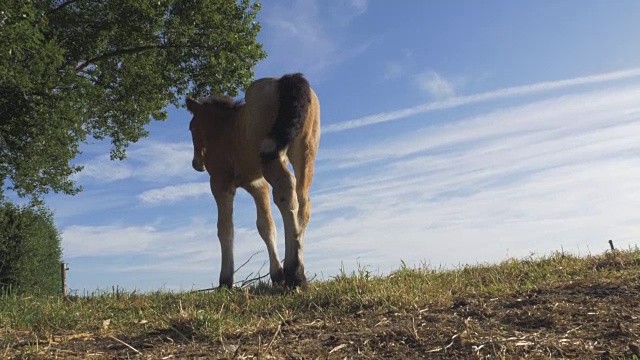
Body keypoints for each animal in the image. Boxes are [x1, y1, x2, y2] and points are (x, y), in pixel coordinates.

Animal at [185, 74, 320, 290]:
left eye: (191, 127)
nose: (197, 164)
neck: (224, 129)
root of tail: (286, 80)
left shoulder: (220, 182)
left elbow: (225, 227)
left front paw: (225, 280)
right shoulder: (257, 184)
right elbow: (266, 225)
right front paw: (276, 275)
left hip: (272, 158)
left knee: (285, 189)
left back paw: (295, 273)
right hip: (306, 151)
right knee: (303, 200)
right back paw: (296, 270)